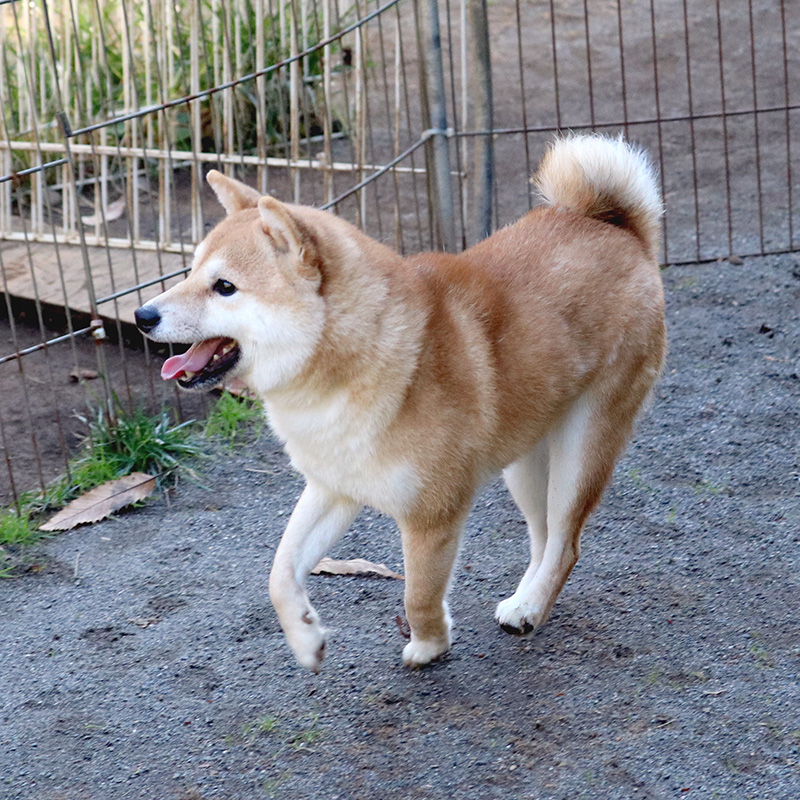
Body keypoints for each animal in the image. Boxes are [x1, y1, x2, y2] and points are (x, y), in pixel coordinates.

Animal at [136, 136, 668, 668]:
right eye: (190, 273)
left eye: (224, 287)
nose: (142, 315)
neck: (346, 372)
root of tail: (618, 229)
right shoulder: (333, 485)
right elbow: (279, 573)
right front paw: (306, 637)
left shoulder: (432, 514)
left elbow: (418, 594)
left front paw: (429, 645)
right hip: (525, 462)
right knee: (544, 538)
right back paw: (524, 601)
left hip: (582, 448)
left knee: (566, 543)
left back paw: (531, 607)